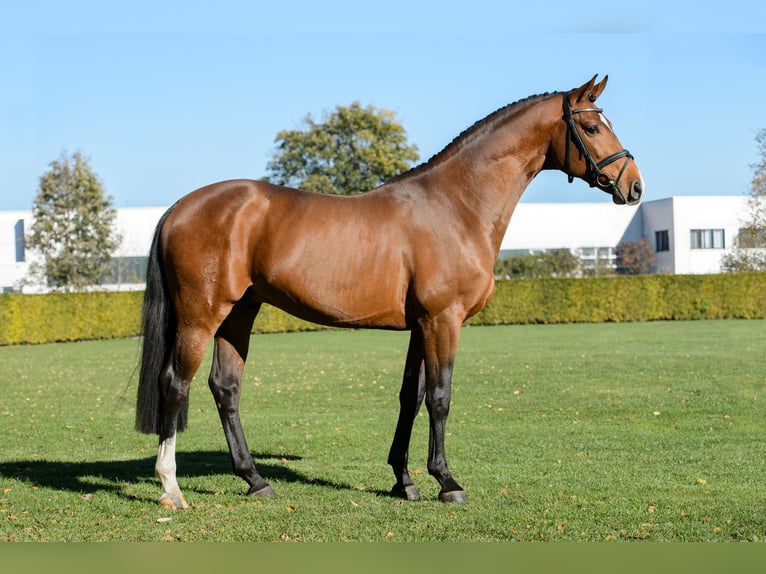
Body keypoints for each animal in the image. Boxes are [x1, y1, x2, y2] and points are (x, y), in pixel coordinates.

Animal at [135, 75, 644, 508]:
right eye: (592, 126)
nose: (634, 186)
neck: (456, 206)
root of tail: (179, 207)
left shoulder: (420, 326)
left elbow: (410, 398)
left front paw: (405, 480)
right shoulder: (443, 320)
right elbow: (440, 397)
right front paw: (447, 482)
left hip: (240, 312)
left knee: (225, 388)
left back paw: (255, 480)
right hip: (201, 315)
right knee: (175, 384)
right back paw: (171, 488)